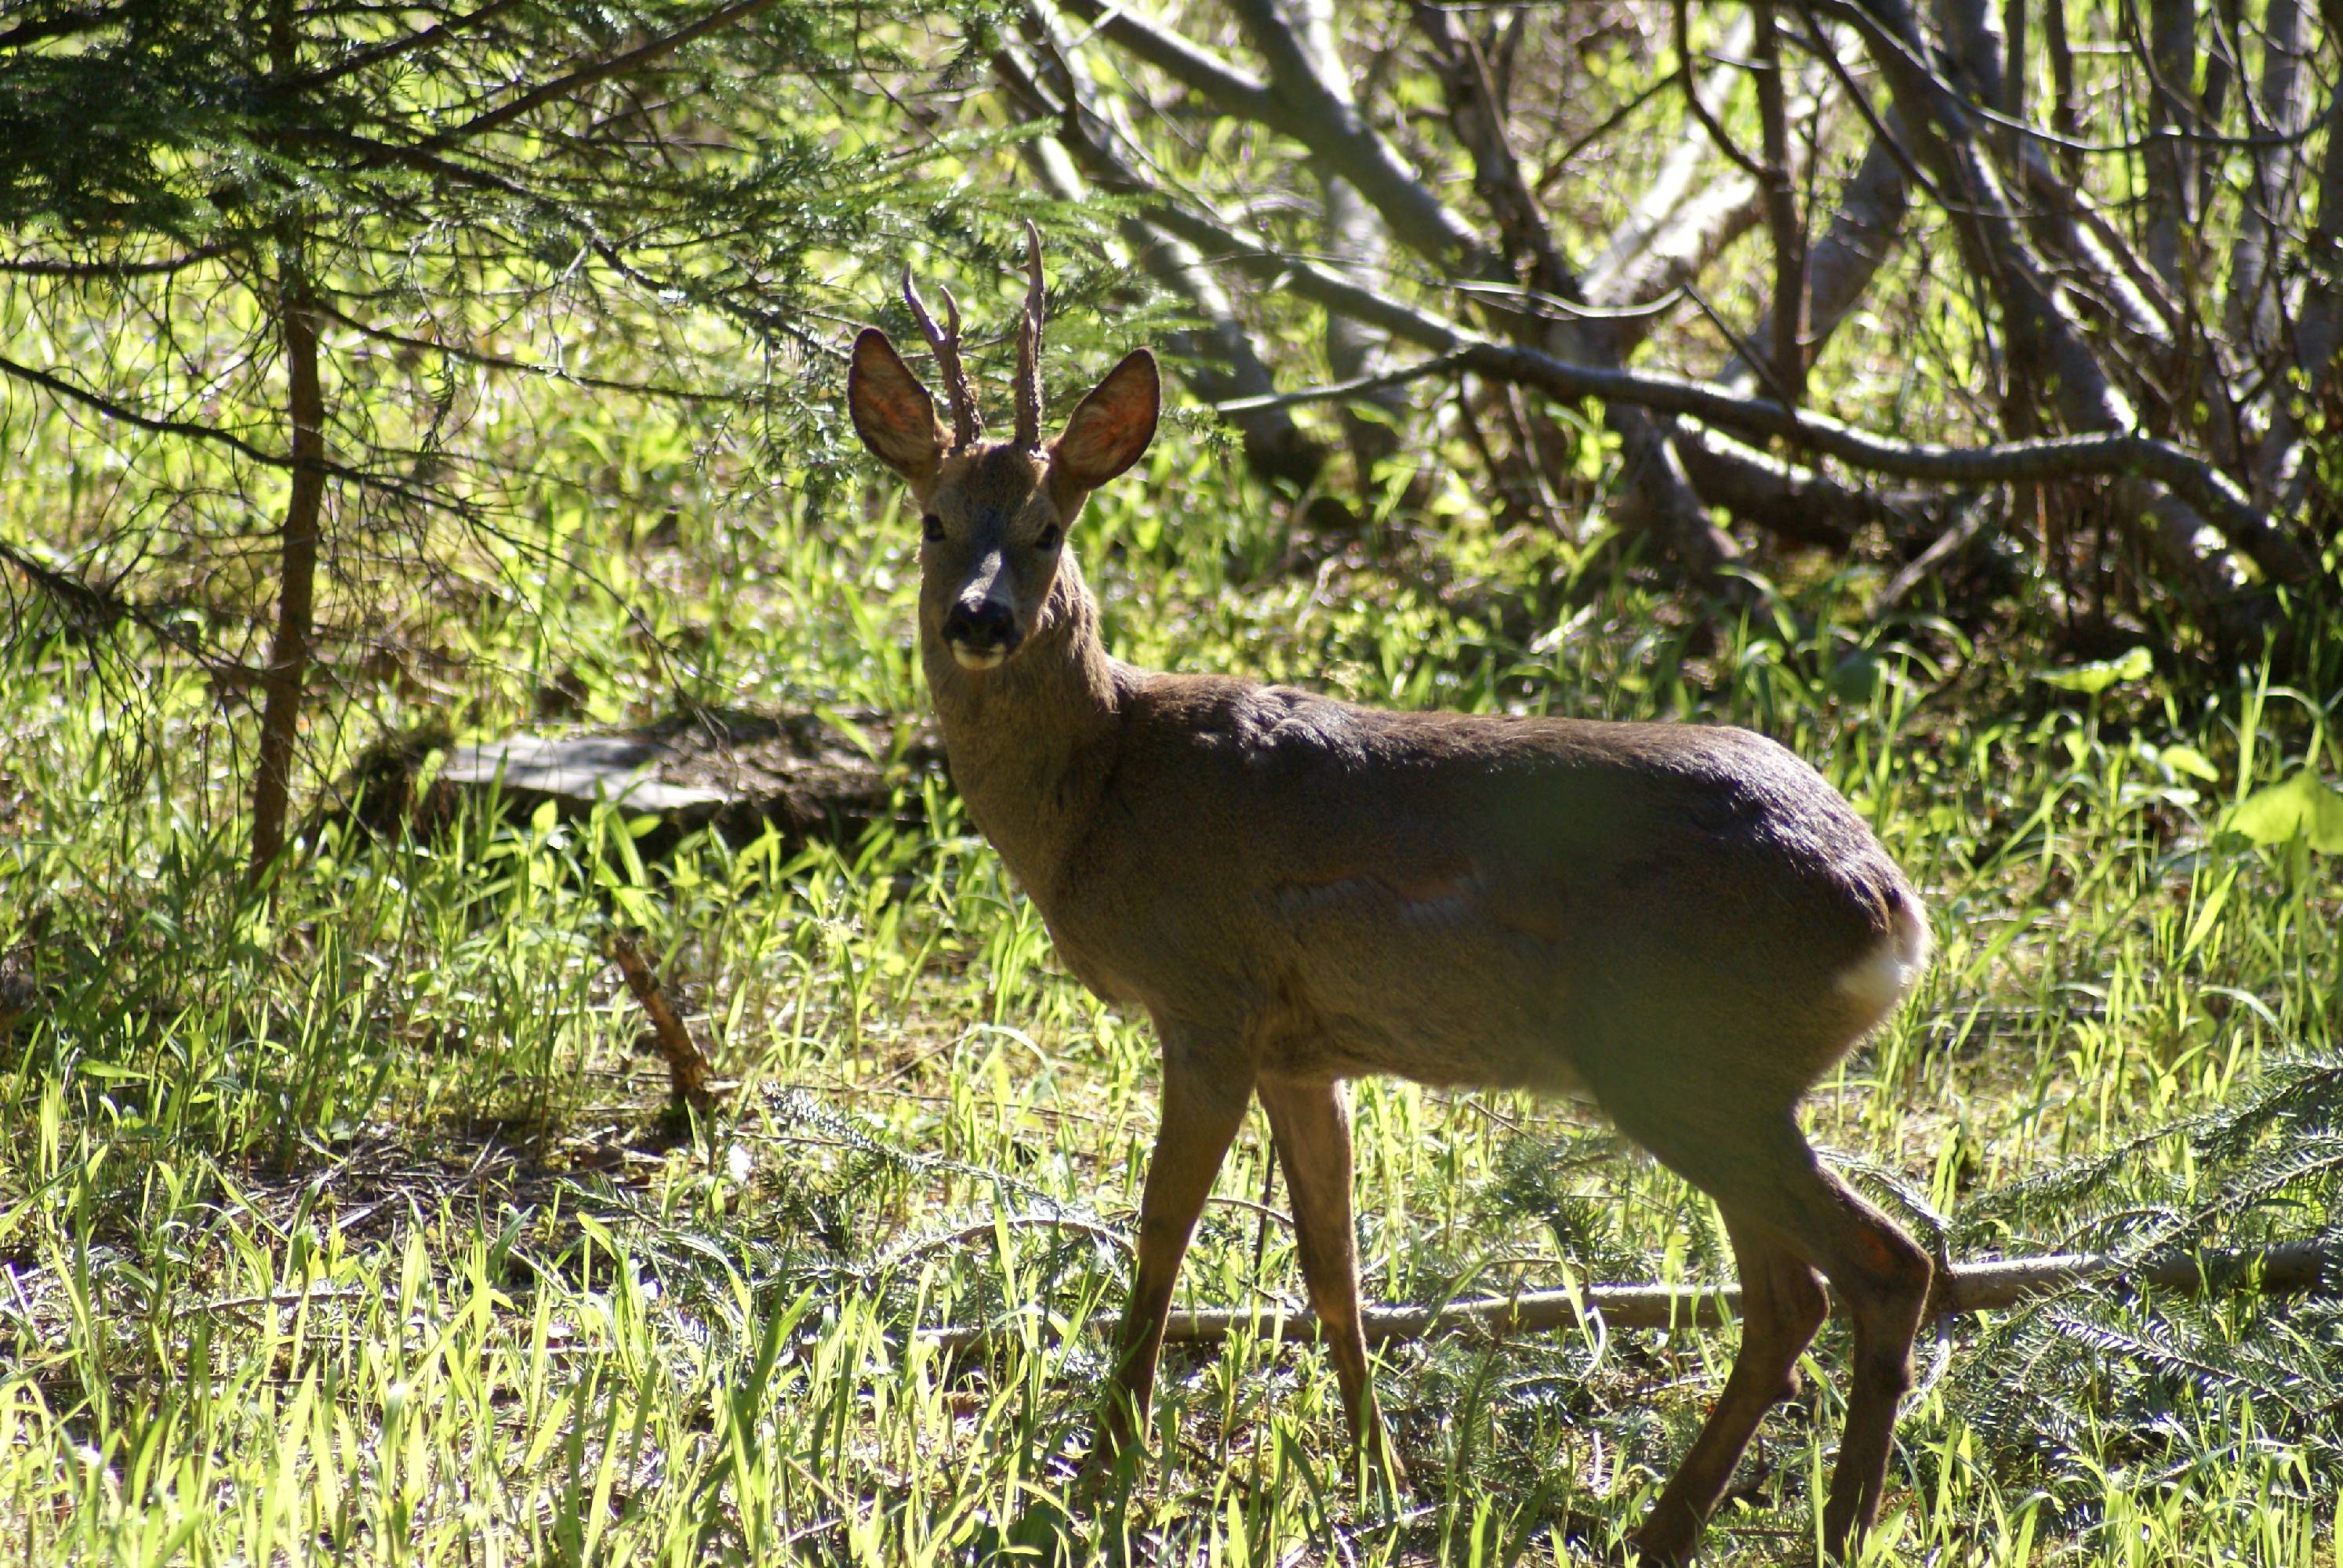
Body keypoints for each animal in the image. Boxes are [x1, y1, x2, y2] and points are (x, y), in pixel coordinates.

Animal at [852, 226, 1931, 1556]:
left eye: (1051, 526)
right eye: (933, 519)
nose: (982, 620)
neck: (1105, 784)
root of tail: (1891, 910)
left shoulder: (1208, 1001)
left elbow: (1162, 1239)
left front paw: (1098, 1472)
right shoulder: (1300, 1048)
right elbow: (1333, 1259)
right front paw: (1378, 1475)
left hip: (1680, 1055)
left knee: (1876, 1268)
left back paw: (1817, 1528)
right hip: (1721, 1075)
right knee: (1791, 1296)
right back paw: (1674, 1527)